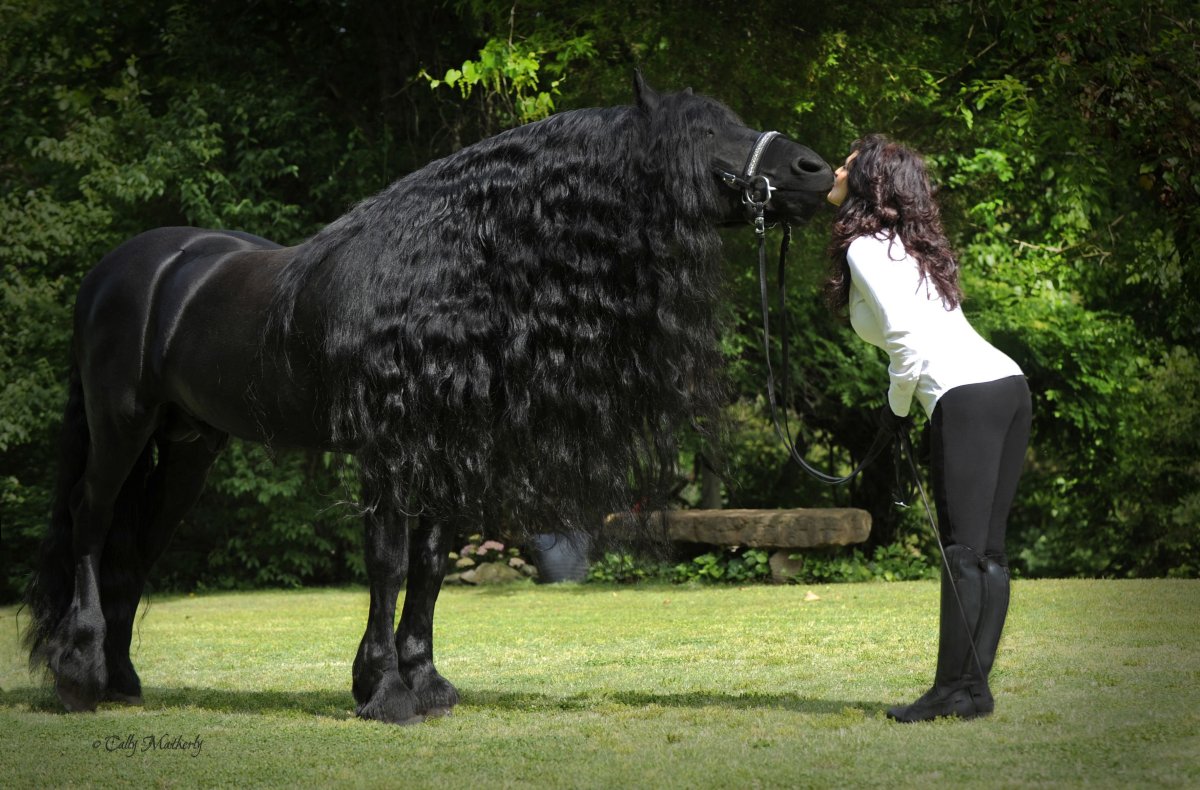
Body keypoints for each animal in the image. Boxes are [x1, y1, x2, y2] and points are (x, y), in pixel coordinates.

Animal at [24, 73, 833, 725]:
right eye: (702, 133)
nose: (815, 170)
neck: (443, 272)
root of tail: (121, 269)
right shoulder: (387, 452)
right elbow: (387, 565)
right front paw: (382, 691)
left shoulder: (446, 451)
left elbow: (432, 568)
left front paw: (426, 683)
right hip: (121, 425)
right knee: (91, 523)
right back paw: (78, 674)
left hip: (189, 445)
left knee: (136, 545)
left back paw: (122, 681)